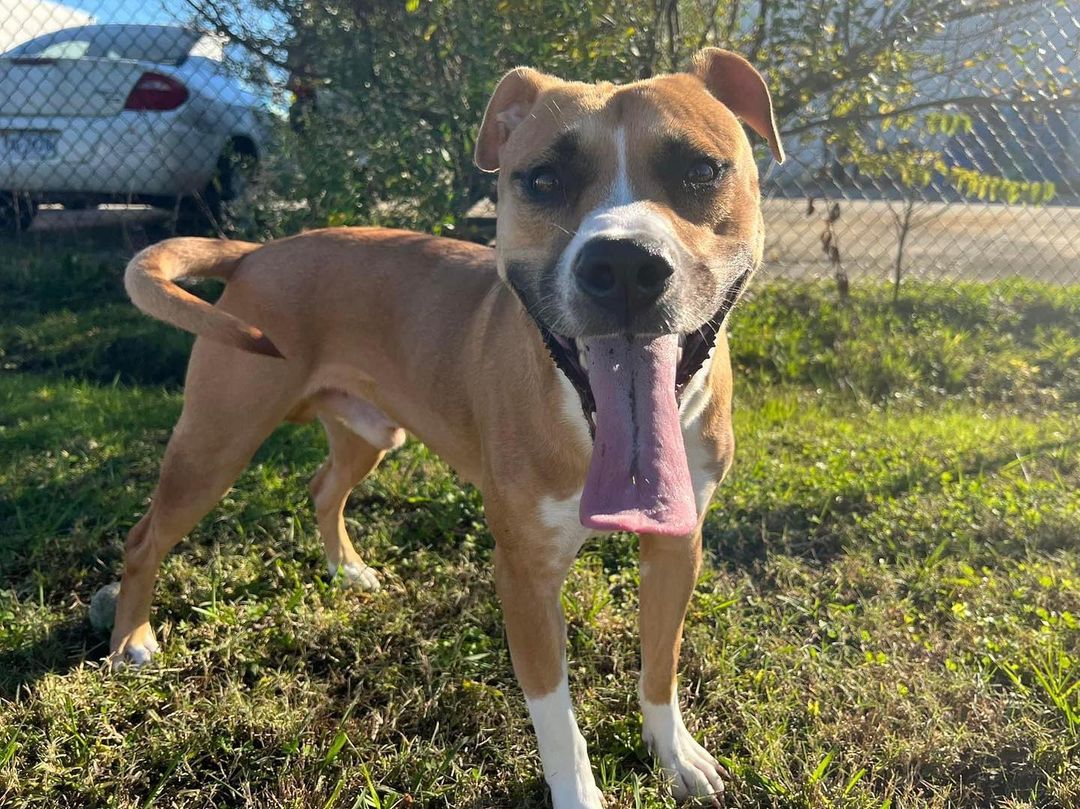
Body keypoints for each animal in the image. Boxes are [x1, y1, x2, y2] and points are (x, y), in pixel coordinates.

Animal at [113, 50, 781, 807]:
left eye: (700, 170)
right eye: (543, 180)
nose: (623, 266)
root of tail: (257, 250)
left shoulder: (676, 548)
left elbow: (660, 664)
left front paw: (674, 752)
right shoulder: (524, 577)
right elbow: (558, 719)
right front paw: (580, 793)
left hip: (370, 434)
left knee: (322, 488)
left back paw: (347, 570)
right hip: (214, 444)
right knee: (145, 537)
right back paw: (132, 639)